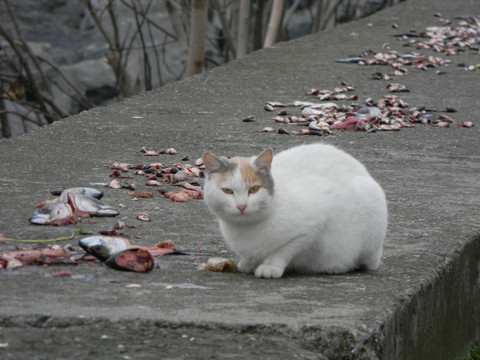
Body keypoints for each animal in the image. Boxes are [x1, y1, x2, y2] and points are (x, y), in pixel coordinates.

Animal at [202, 143, 386, 278]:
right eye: (227, 191)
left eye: (253, 190)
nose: (241, 206)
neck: (245, 229)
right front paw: (248, 263)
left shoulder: (310, 228)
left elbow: (283, 250)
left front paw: (270, 266)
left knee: (365, 262)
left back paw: (336, 266)